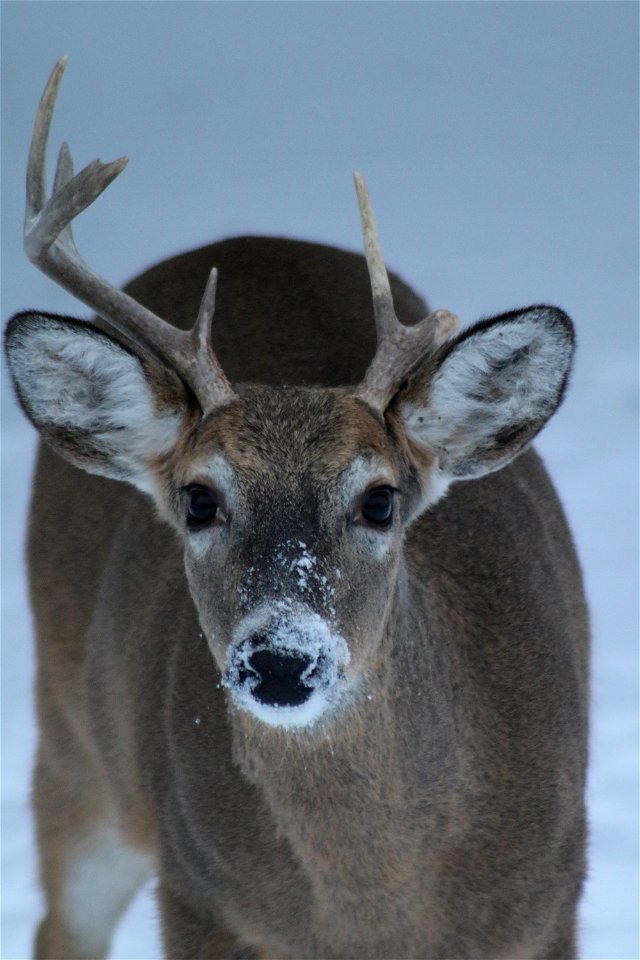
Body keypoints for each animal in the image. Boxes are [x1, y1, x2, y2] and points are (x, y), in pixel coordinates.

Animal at [3, 60, 592, 960]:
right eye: (199, 499)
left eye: (380, 499)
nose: (281, 659)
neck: (377, 914)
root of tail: (239, 240)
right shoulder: (201, 898)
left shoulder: (552, 900)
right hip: (75, 741)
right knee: (62, 923)